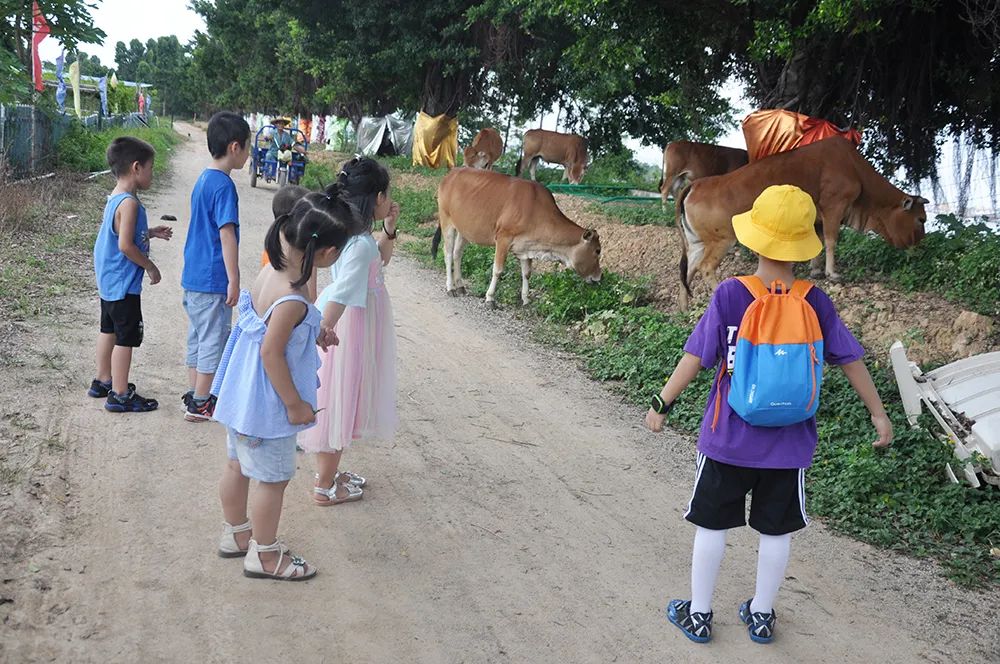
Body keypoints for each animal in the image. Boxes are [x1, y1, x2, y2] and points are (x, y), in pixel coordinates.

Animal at [432, 169, 600, 308]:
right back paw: (450, 288)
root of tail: (449, 175)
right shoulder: (503, 238)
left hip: (464, 229)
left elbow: (526, 273)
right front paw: (490, 298)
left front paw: (525, 300)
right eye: (597, 251)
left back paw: (460, 286)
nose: (598, 278)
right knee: (448, 253)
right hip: (447, 220)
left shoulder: (526, 247)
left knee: (457, 254)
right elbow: (498, 270)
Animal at [676, 137, 924, 312]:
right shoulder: (834, 206)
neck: (854, 167)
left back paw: (684, 308)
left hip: (697, 243)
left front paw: (816, 270)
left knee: (688, 270)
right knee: (706, 268)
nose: (918, 246)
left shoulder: (818, 219)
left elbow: (820, 243)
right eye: (921, 219)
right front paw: (832, 273)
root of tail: (696, 185)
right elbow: (832, 241)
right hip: (723, 239)